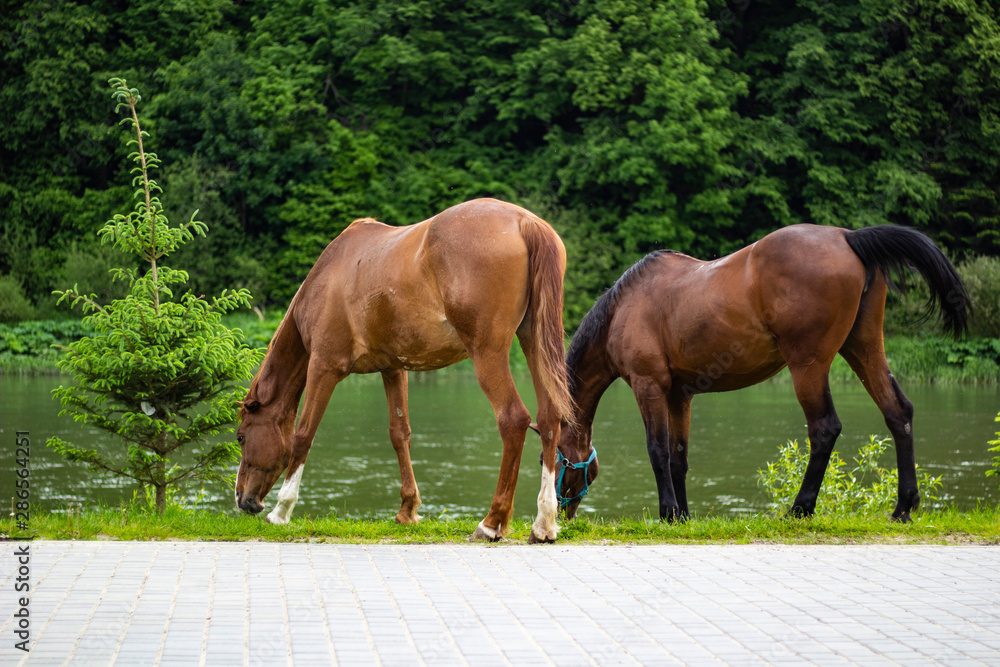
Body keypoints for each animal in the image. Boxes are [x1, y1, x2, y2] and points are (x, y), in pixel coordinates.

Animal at [235, 198, 574, 543]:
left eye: (241, 437)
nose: (243, 500)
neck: (328, 276)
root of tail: (525, 222)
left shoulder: (323, 367)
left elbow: (304, 435)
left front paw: (281, 511)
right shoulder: (394, 369)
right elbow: (400, 434)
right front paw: (407, 510)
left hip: (487, 354)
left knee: (513, 419)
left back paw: (491, 522)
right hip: (533, 342)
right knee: (549, 419)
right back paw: (544, 524)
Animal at [552, 224, 970, 522]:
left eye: (555, 458)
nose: (562, 512)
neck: (625, 307)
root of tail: (848, 237)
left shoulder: (649, 386)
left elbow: (657, 451)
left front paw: (668, 513)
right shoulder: (679, 395)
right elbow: (679, 458)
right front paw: (683, 516)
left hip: (808, 366)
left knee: (825, 428)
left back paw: (800, 508)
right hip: (864, 349)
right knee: (898, 413)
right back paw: (903, 507)